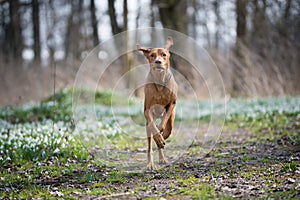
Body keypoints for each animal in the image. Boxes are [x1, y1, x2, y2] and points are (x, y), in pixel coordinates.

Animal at [138, 36, 178, 170]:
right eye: (152, 55)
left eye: (164, 55)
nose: (158, 62)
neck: (160, 81)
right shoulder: (147, 110)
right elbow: (154, 128)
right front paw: (158, 138)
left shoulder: (172, 104)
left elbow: (163, 124)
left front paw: (161, 136)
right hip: (147, 126)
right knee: (150, 144)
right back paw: (151, 163)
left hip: (172, 120)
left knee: (167, 129)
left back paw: (162, 157)